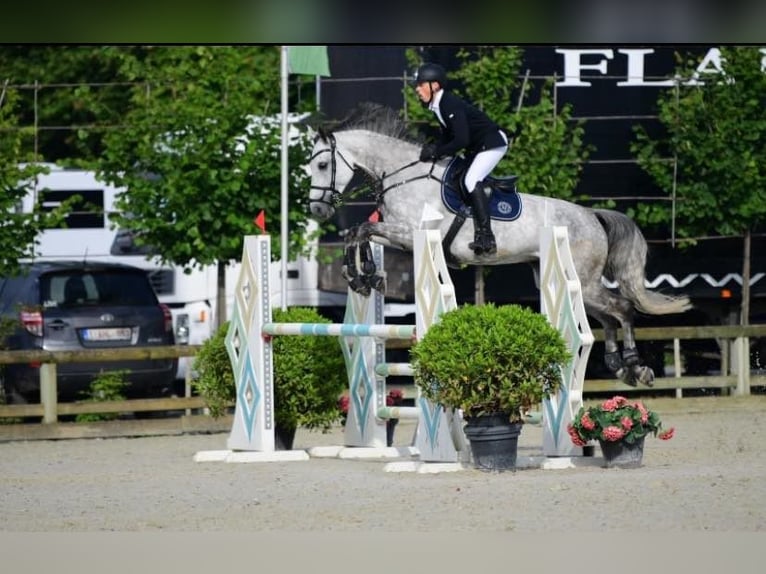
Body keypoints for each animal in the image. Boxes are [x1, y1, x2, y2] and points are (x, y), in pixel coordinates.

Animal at [308, 108, 696, 388]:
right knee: (605, 316)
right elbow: (359, 233)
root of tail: (591, 215)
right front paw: (363, 277)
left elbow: (362, 228)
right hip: (569, 281)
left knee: (623, 308)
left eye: (323, 164)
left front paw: (362, 276)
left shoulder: (410, 232)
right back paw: (617, 364)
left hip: (583, 281)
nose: (317, 210)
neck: (403, 175)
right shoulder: (398, 236)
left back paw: (635, 367)